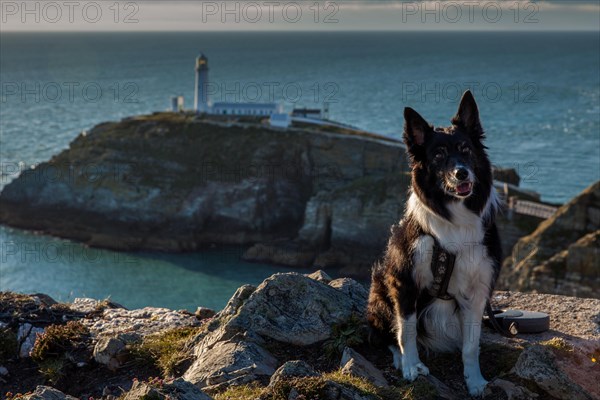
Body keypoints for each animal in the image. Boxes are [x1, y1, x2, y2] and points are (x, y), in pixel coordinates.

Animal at [366, 89, 502, 396]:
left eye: (465, 149)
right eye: (438, 155)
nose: (461, 173)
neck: (456, 219)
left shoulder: (477, 290)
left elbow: (471, 346)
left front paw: (474, 381)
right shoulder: (403, 281)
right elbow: (407, 330)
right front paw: (411, 367)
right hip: (380, 292)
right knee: (389, 334)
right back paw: (400, 359)